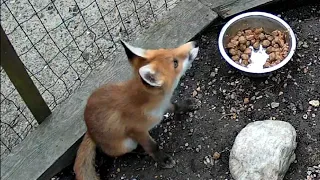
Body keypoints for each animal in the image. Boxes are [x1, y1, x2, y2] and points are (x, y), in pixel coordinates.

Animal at [74, 40, 199, 180]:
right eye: (175, 63)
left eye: (168, 49)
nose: (194, 43)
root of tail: (89, 131)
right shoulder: (137, 130)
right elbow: (152, 147)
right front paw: (163, 160)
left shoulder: (165, 105)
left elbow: (176, 107)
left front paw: (189, 105)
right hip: (126, 143)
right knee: (122, 152)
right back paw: (139, 150)